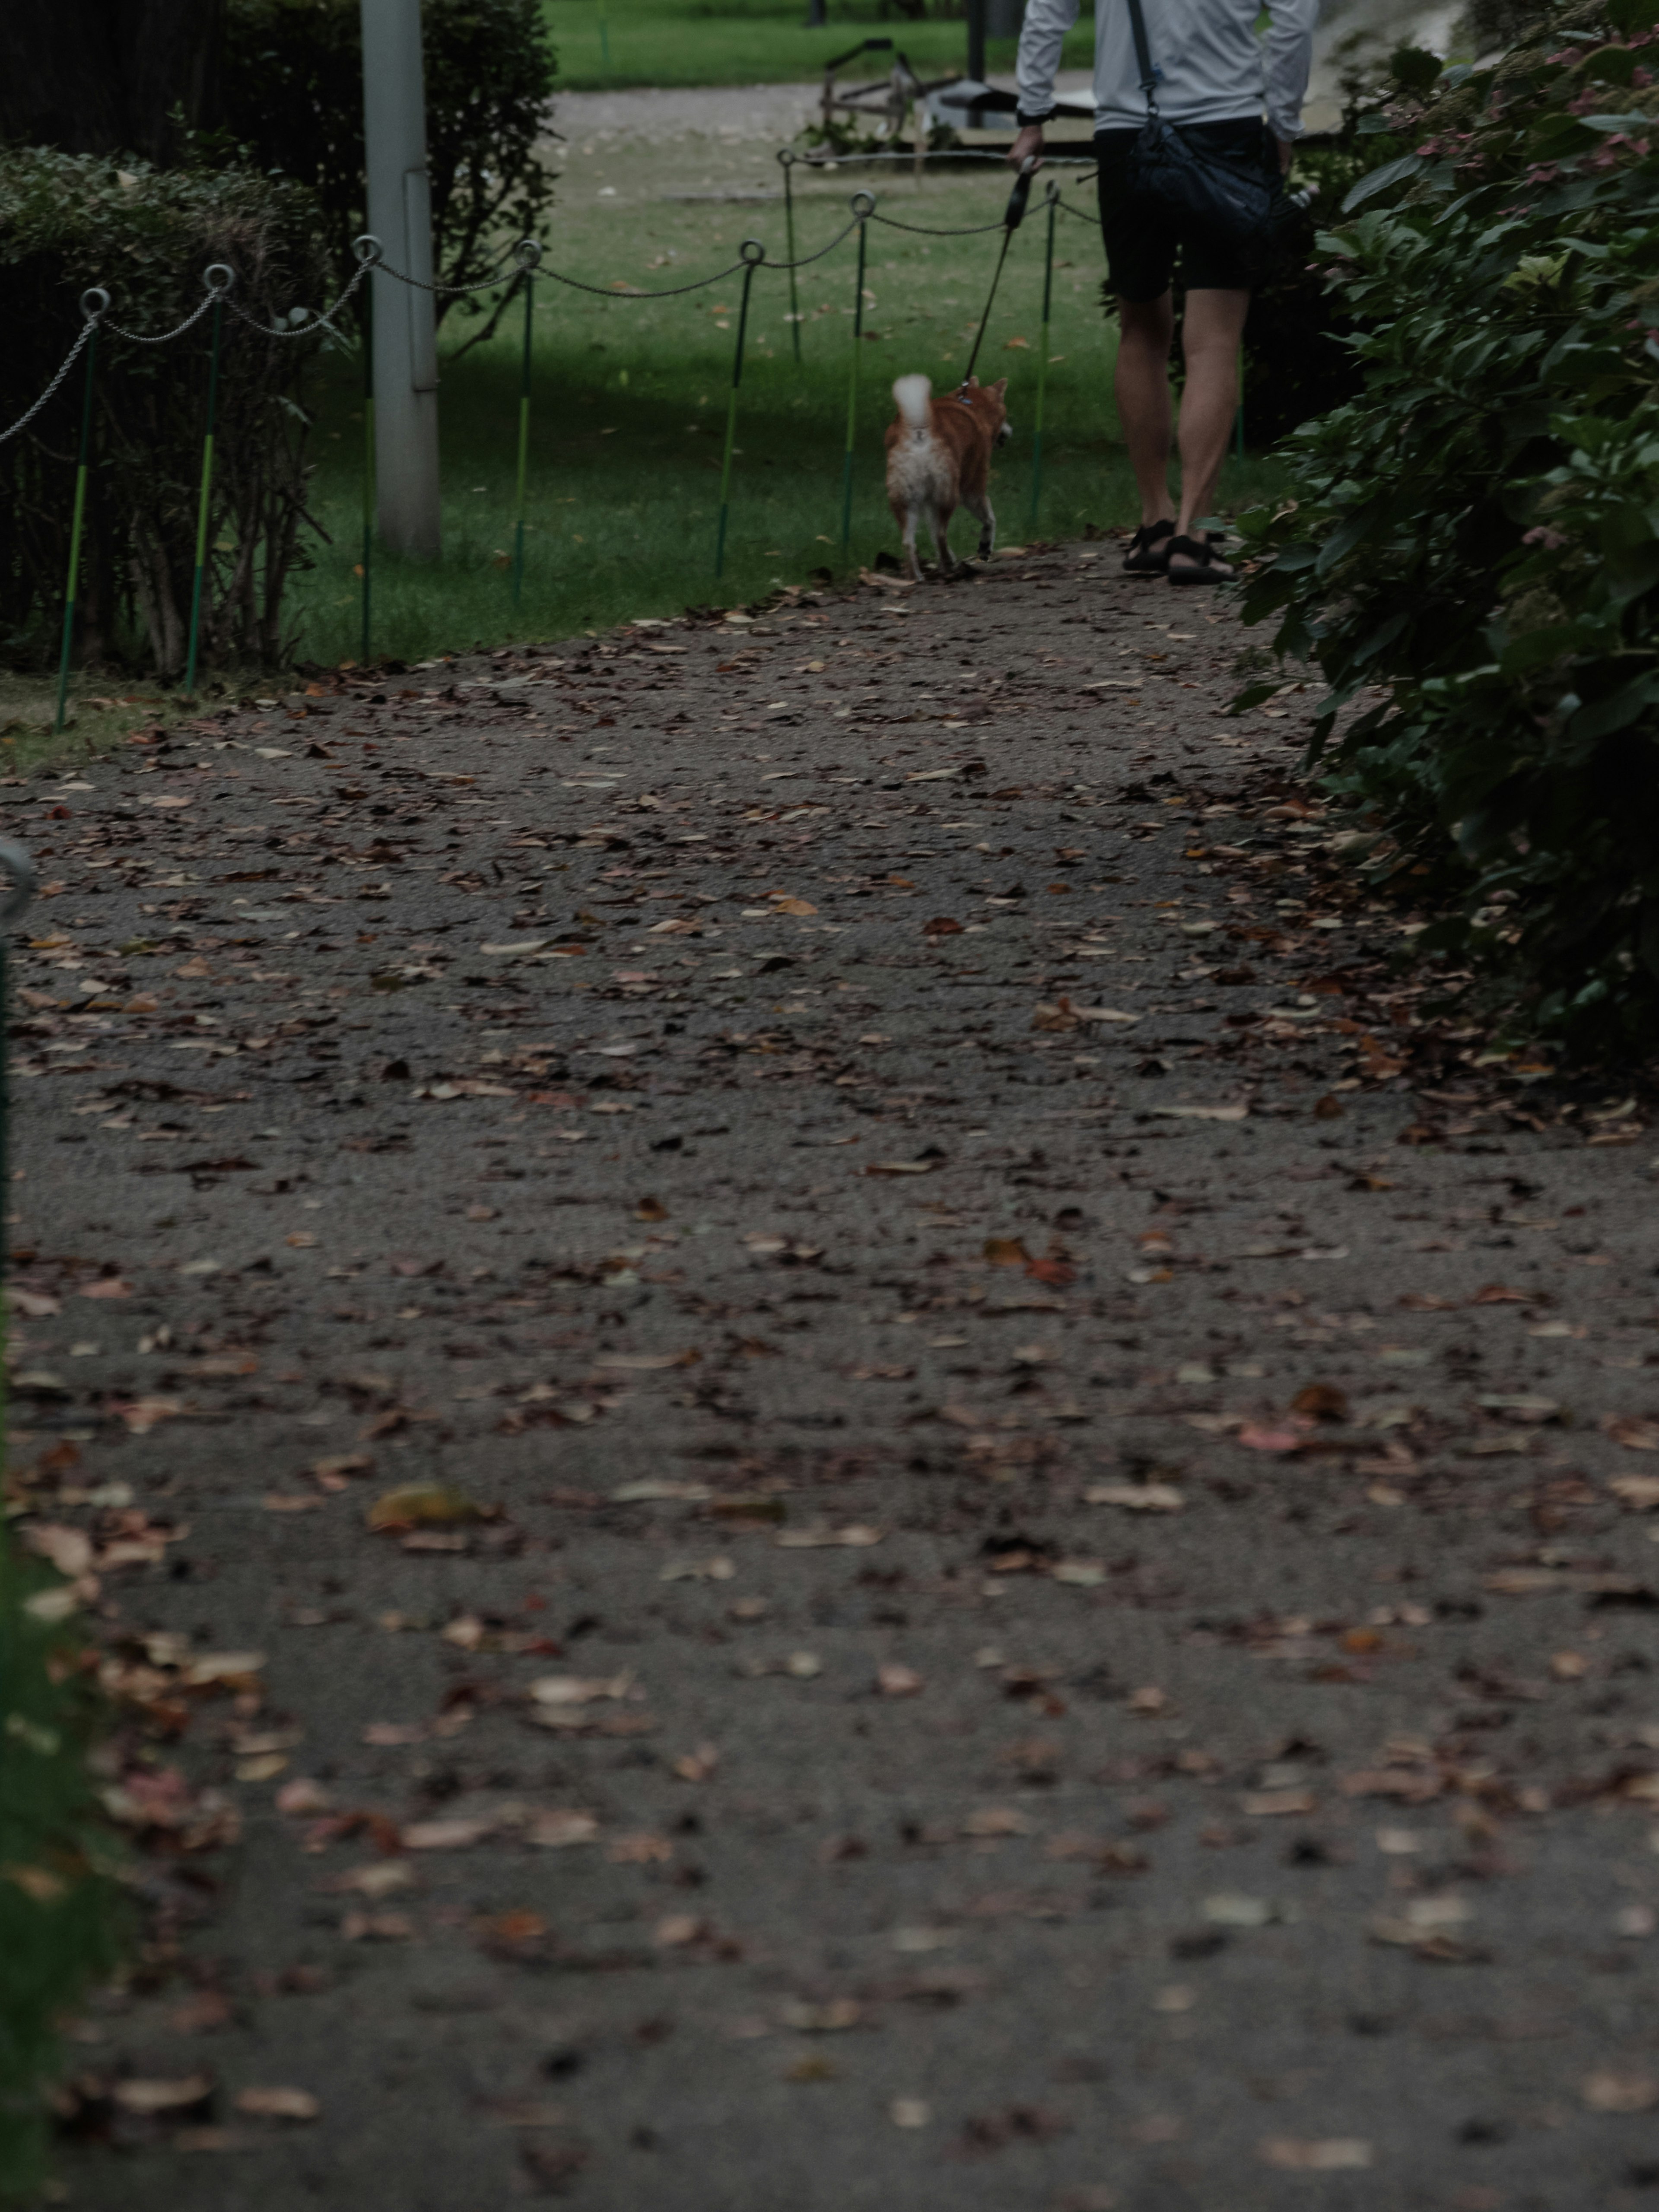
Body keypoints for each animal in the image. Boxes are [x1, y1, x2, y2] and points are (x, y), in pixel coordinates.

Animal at [885, 376, 1013, 579]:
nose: (1009, 431)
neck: (970, 405)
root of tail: (919, 431)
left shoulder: (930, 504)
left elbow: (930, 534)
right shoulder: (972, 490)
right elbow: (990, 519)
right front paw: (985, 546)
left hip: (905, 501)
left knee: (908, 543)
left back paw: (916, 578)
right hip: (949, 495)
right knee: (941, 535)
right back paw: (950, 568)